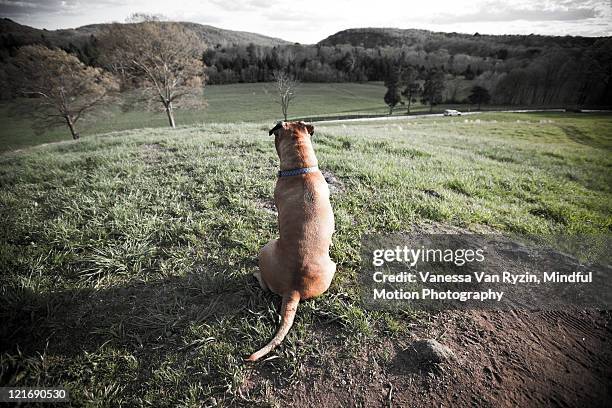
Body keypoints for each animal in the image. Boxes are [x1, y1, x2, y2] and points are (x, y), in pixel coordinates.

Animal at [246, 120, 334, 360]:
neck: (301, 169)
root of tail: (293, 289)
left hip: (264, 249)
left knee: (265, 285)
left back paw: (256, 273)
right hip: (331, 267)